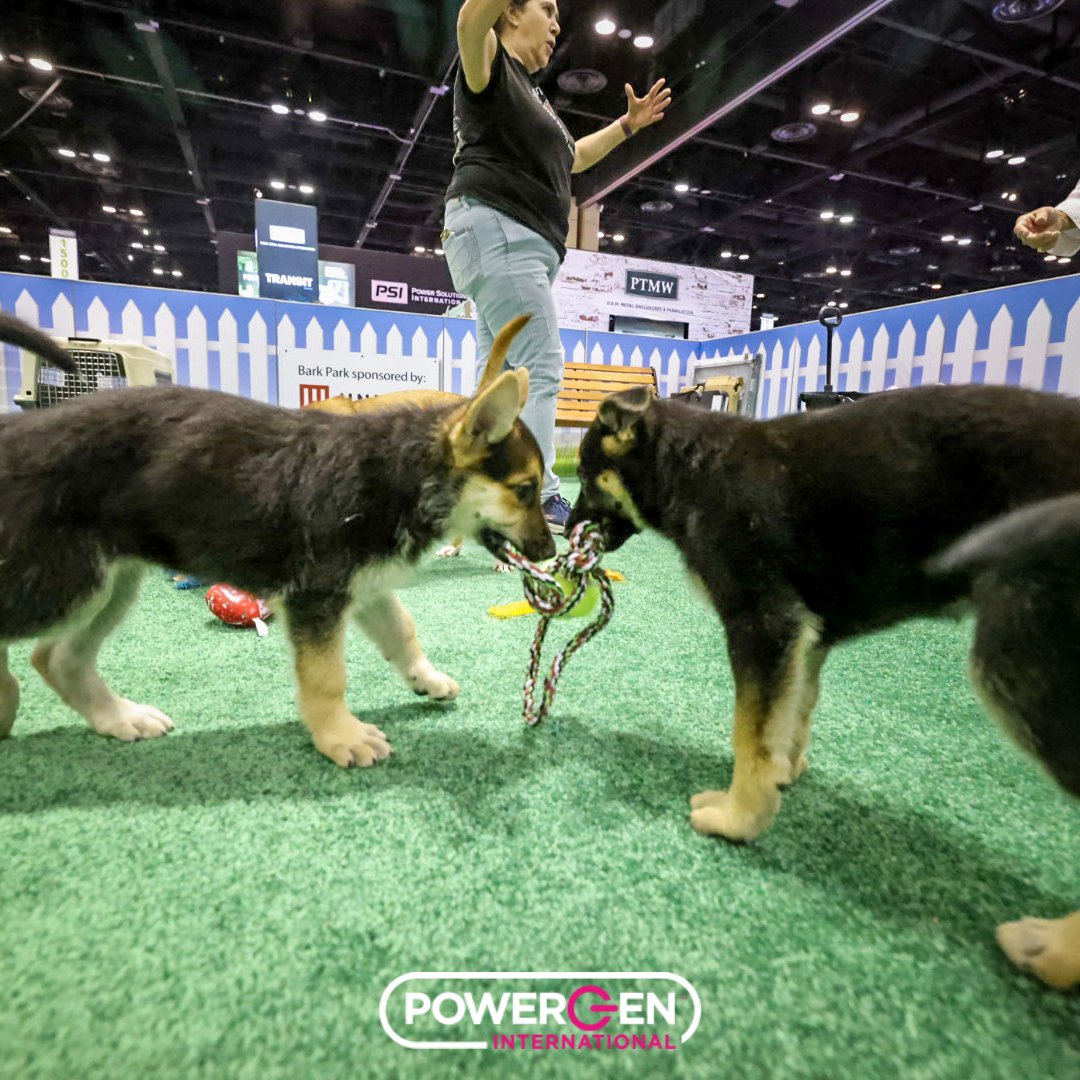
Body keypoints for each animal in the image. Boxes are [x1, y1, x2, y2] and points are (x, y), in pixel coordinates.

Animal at [0, 313, 552, 768]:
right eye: (525, 491)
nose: (550, 553)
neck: (405, 474)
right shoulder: (317, 596)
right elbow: (327, 676)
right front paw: (339, 736)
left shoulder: (364, 586)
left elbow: (403, 632)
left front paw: (427, 679)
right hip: (63, 582)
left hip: (107, 585)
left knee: (56, 658)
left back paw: (118, 718)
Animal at [565, 384, 1080, 989]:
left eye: (587, 477)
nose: (562, 533)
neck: (689, 468)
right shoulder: (804, 638)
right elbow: (791, 717)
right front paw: (784, 776)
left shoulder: (762, 623)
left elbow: (749, 736)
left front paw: (740, 818)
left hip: (1017, 657)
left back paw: (1056, 952)